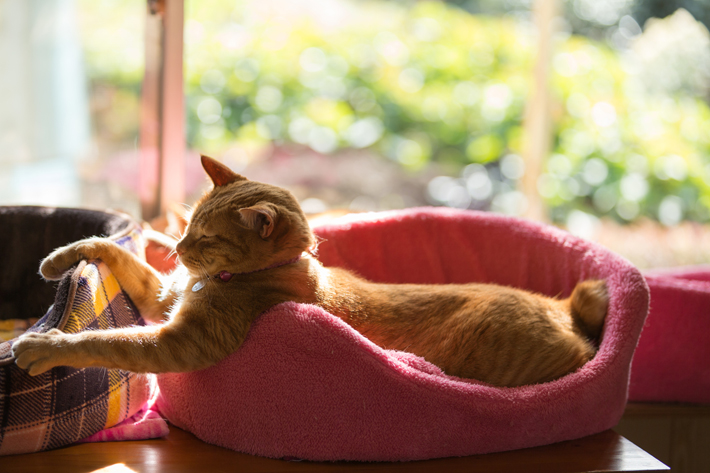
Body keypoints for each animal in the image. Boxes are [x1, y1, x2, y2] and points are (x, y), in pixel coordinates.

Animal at [13, 157, 608, 386]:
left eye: (207, 237)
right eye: (190, 223)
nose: (178, 247)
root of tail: (562, 308)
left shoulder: (177, 342)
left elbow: (109, 340)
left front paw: (41, 346)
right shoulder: (163, 297)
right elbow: (108, 247)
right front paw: (59, 257)